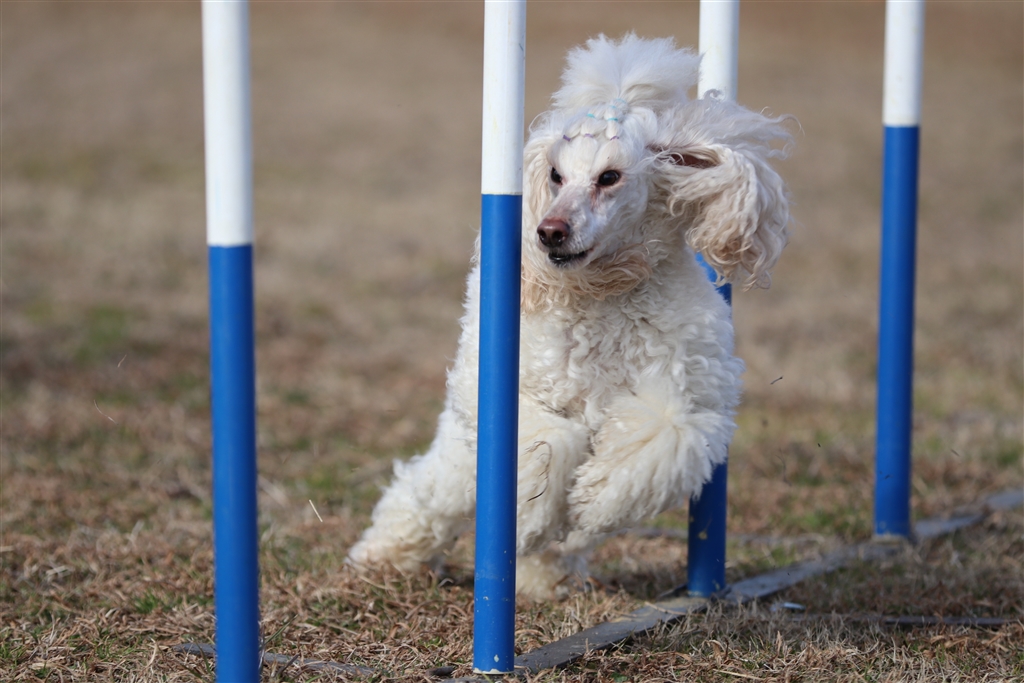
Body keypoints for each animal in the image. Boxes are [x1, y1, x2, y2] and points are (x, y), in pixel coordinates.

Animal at [348, 34, 792, 599]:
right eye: (556, 175)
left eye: (609, 177)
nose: (549, 232)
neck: (601, 293)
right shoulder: (503, 389)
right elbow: (550, 442)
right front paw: (531, 517)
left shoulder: (691, 395)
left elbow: (665, 433)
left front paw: (595, 499)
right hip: (460, 459)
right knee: (425, 496)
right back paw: (385, 557)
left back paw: (545, 575)